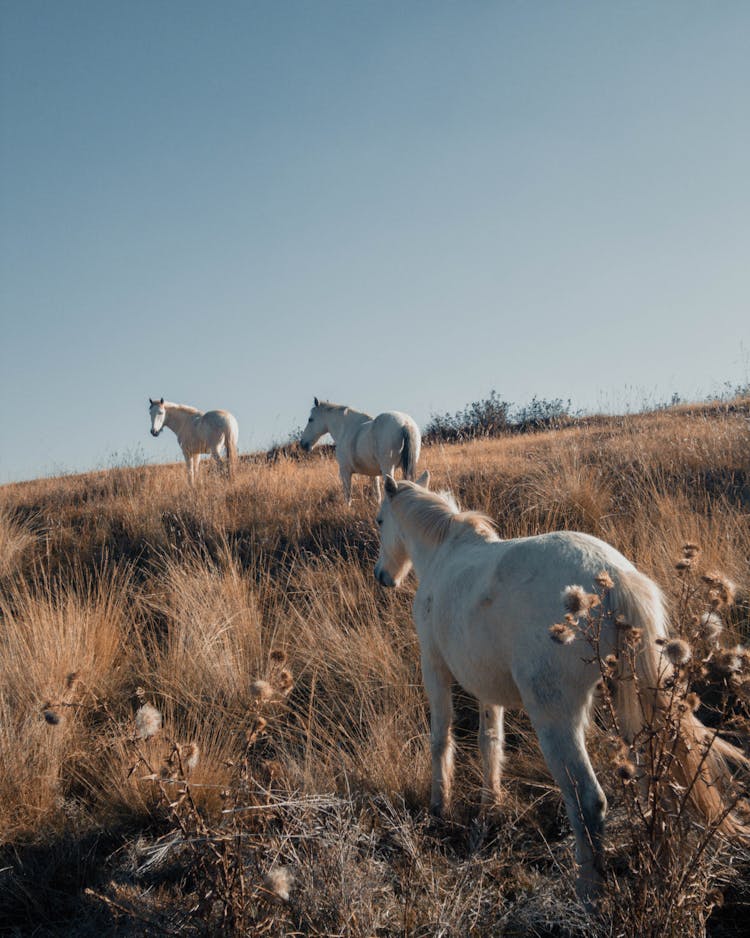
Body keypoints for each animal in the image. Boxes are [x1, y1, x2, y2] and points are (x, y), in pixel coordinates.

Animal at [374, 472, 748, 904]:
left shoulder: (433, 667)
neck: (443, 553)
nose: (382, 576)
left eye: (380, 521)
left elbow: (440, 739)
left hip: (556, 719)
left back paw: (587, 889)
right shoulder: (486, 684)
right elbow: (490, 741)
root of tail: (613, 577)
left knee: (588, 800)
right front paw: (490, 802)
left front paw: (440, 805)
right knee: (647, 781)